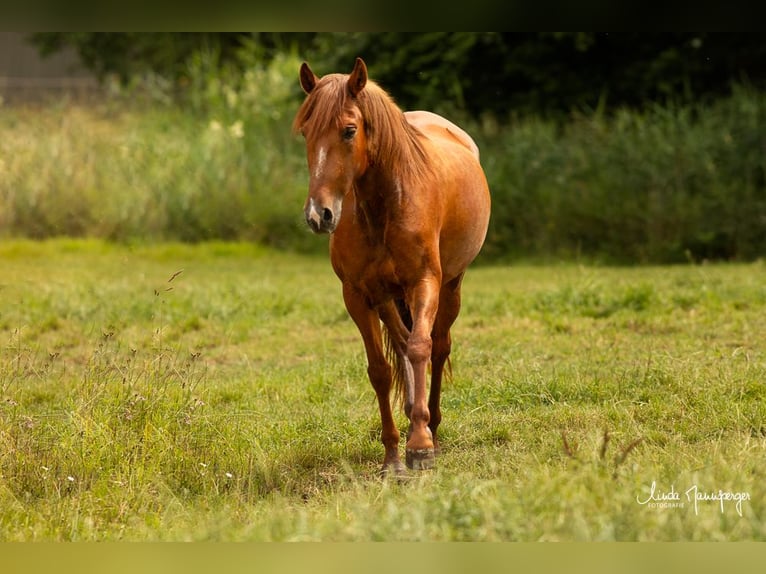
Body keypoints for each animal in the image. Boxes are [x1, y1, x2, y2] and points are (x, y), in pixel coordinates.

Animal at [294, 57, 492, 476]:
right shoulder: (357, 295)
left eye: (349, 130)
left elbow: (420, 348)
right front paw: (392, 458)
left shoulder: (424, 282)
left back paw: (432, 425)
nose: (319, 215)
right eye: (305, 132)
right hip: (387, 299)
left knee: (438, 347)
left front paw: (420, 447)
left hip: (451, 287)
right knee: (400, 344)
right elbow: (380, 370)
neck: (385, 207)